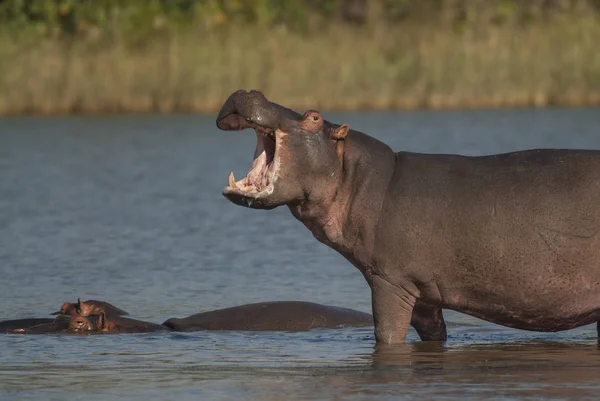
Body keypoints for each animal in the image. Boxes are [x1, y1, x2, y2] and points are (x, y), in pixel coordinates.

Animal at [214, 90, 600, 344]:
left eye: (314, 118)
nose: (251, 91)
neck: (358, 177)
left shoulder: (390, 281)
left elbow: (386, 335)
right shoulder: (422, 293)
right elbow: (433, 333)